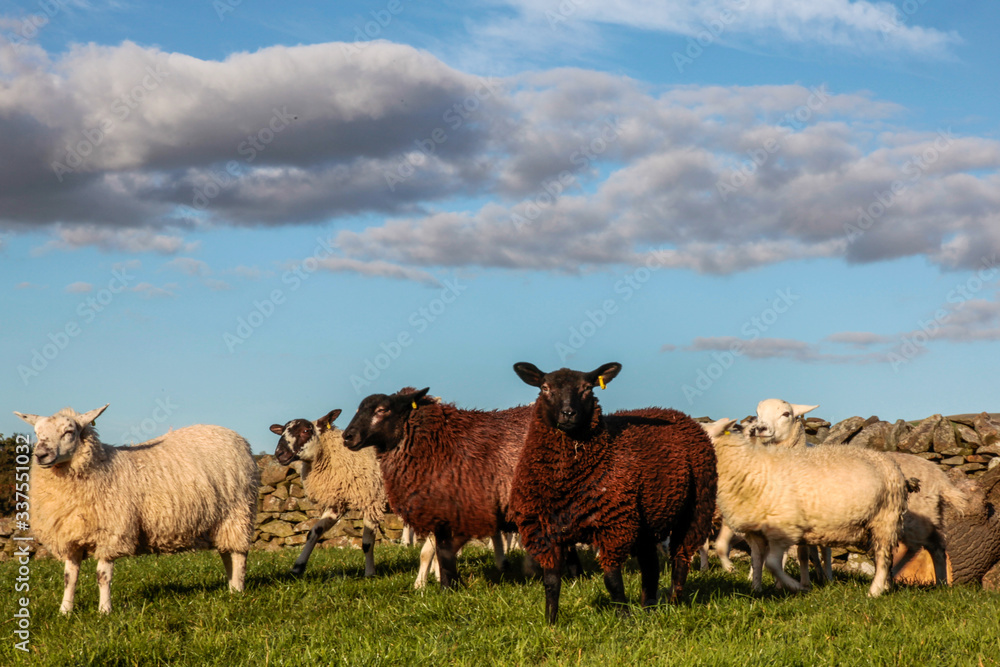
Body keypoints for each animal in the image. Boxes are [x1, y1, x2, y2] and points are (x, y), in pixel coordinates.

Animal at [14, 404, 258, 614]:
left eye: (69, 431)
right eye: (36, 432)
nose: (41, 455)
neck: (101, 466)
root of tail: (237, 437)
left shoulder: (111, 533)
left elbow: (102, 576)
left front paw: (105, 611)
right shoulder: (70, 535)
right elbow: (69, 577)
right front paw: (65, 611)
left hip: (238, 512)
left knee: (239, 554)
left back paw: (238, 591)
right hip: (220, 520)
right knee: (226, 552)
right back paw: (231, 587)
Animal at [341, 388, 561, 589]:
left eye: (382, 410)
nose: (347, 436)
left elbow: (436, 551)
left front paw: (437, 585)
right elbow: (437, 551)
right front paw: (435, 583)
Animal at [509, 362, 717, 624]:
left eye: (587, 388)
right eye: (545, 388)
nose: (568, 413)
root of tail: (678, 414)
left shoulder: (614, 524)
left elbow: (612, 580)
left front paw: (624, 617)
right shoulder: (545, 531)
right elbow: (551, 582)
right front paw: (551, 622)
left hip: (698, 507)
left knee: (680, 558)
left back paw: (674, 603)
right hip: (646, 518)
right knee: (651, 566)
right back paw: (648, 607)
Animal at [705, 418, 908, 597]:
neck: (748, 467)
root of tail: (888, 461)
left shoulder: (783, 529)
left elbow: (771, 563)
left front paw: (795, 586)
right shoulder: (755, 532)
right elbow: (757, 561)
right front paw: (756, 590)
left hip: (885, 518)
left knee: (883, 557)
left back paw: (875, 591)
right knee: (882, 556)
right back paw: (886, 586)